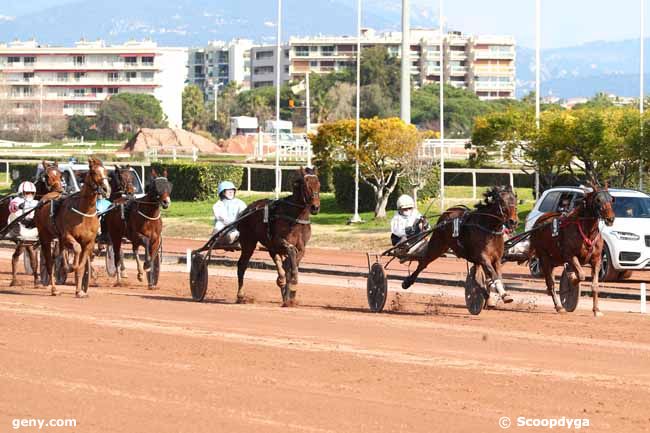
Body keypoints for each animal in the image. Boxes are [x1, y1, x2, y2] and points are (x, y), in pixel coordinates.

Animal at [34, 157, 109, 296]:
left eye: (105, 171)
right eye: (93, 172)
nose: (106, 189)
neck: (84, 213)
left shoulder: (89, 242)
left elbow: (81, 265)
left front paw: (80, 291)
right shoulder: (67, 235)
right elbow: (76, 249)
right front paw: (70, 267)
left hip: (58, 237)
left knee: (59, 253)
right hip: (45, 236)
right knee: (49, 261)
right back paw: (54, 288)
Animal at [237, 167, 320, 306]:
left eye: (319, 184)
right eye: (306, 185)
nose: (315, 207)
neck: (296, 218)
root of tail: (247, 210)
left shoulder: (301, 246)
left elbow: (292, 263)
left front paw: (290, 295)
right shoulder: (278, 241)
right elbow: (291, 254)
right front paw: (292, 286)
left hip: (269, 246)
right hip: (248, 242)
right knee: (242, 265)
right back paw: (240, 296)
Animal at [528, 184, 612, 316]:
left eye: (612, 199)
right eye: (598, 200)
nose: (610, 218)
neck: (587, 232)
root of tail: (539, 222)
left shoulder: (596, 259)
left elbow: (595, 285)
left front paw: (596, 310)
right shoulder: (570, 255)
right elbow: (581, 275)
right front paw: (572, 279)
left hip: (554, 260)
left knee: (550, 281)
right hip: (544, 256)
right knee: (551, 283)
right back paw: (559, 306)